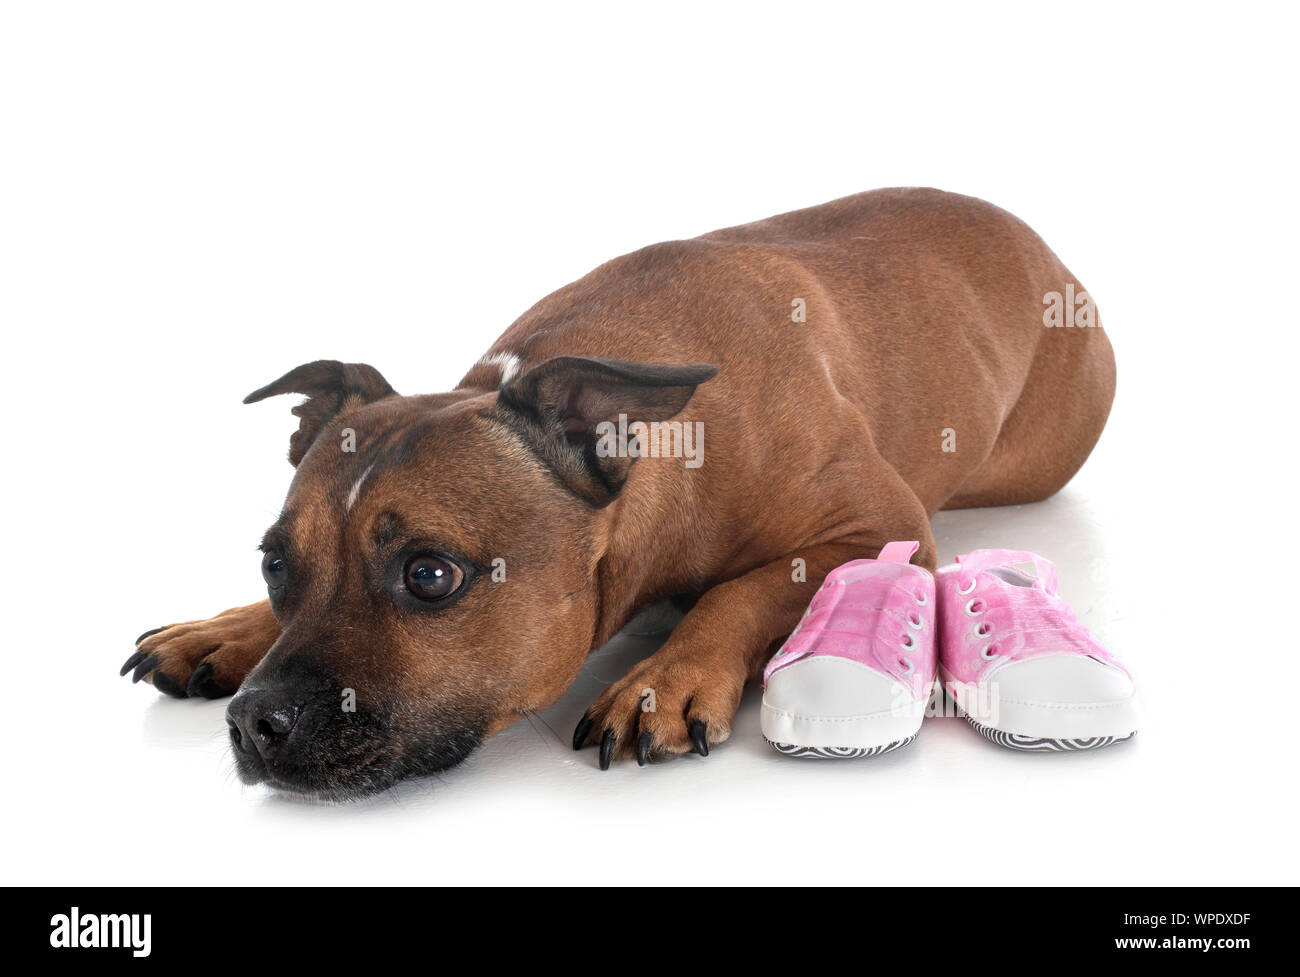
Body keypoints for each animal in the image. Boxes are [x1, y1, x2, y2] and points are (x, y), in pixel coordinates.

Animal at [122, 187, 1112, 795]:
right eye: (273, 563)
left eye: (430, 575)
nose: (253, 721)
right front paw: (226, 629)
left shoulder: (876, 523)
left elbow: (742, 588)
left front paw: (662, 679)